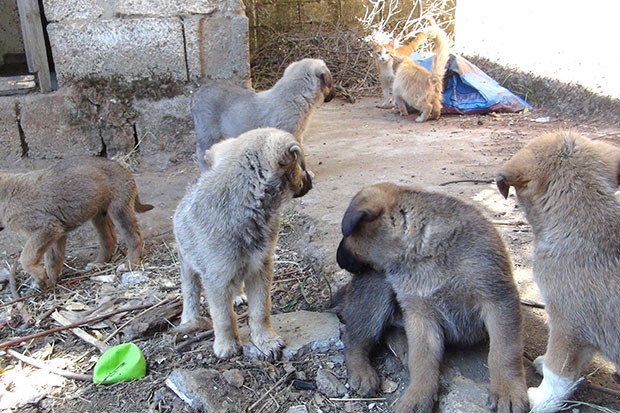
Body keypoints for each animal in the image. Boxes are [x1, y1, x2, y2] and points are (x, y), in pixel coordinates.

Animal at [0, 156, 154, 288]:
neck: (6, 197)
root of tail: (123, 168)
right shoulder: (57, 232)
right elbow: (53, 259)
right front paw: (49, 281)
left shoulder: (46, 227)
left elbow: (26, 258)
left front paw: (40, 277)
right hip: (99, 214)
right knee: (109, 239)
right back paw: (97, 264)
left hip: (119, 210)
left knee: (134, 237)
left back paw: (130, 265)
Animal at [172, 127, 312, 358]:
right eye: (300, 165)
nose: (311, 178)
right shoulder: (216, 280)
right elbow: (223, 317)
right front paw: (226, 345)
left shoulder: (260, 268)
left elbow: (260, 310)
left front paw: (265, 340)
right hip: (187, 263)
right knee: (189, 290)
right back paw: (189, 318)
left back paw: (237, 296)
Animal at [191, 57, 334, 171]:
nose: (333, 95)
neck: (293, 96)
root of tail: (197, 93)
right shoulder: (291, 135)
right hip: (208, 134)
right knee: (202, 154)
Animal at [336, 183, 524, 412]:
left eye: (347, 235)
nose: (338, 260)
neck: (423, 252)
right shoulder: (420, 314)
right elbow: (422, 360)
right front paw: (418, 395)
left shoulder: (498, 300)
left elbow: (503, 352)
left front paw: (507, 390)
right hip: (376, 287)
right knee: (354, 339)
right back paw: (362, 372)